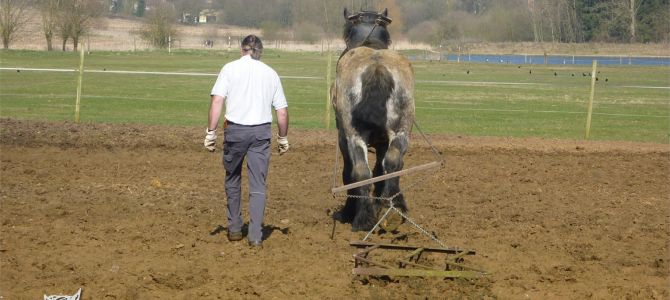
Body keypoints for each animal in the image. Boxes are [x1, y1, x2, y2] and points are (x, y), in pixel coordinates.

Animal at [330, 8, 414, 231]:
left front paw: (348, 211)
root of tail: (377, 67)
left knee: (360, 172)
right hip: (401, 131)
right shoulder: (384, 141)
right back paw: (392, 212)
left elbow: (349, 173)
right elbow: (380, 171)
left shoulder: (343, 138)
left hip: (355, 136)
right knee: (393, 164)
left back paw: (362, 219)